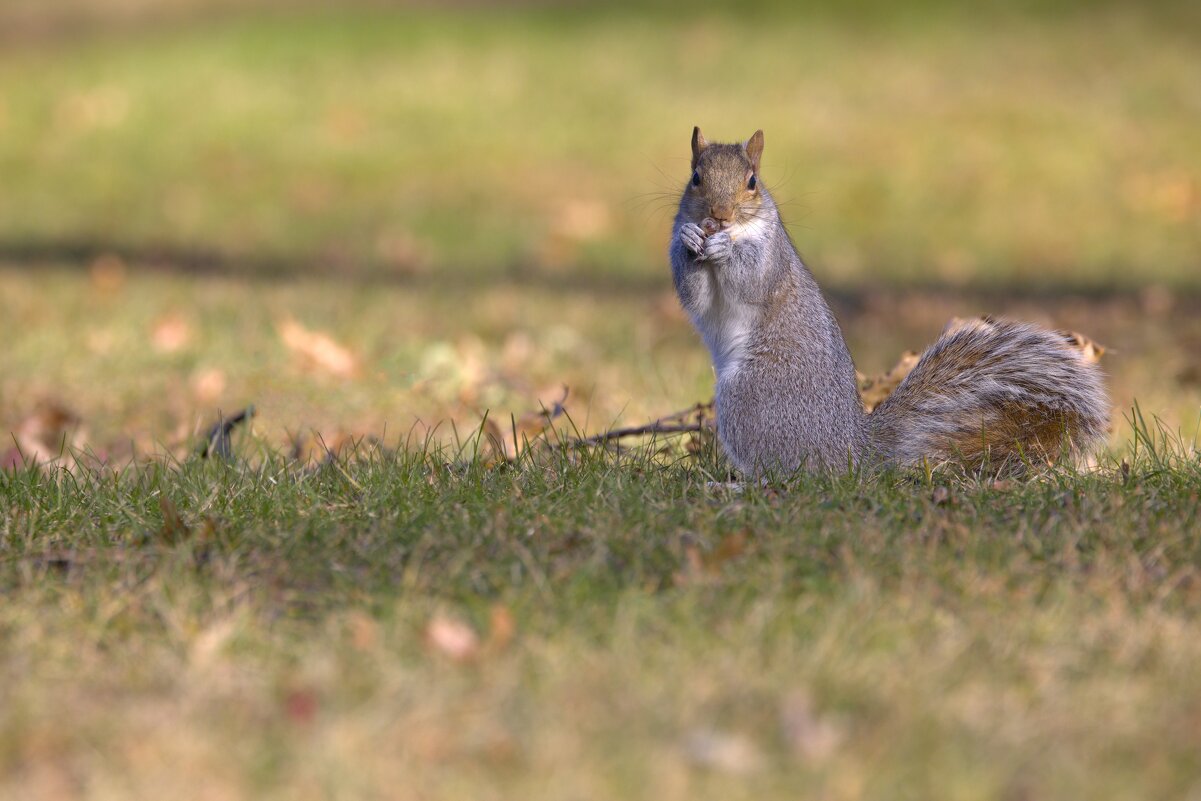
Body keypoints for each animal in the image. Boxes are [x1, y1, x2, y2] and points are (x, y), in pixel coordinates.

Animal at [667, 126, 1104, 475]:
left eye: (753, 181)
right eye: (695, 177)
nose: (720, 215)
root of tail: (851, 452)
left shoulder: (769, 258)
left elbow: (752, 282)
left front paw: (724, 248)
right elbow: (695, 293)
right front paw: (691, 240)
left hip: (750, 396)